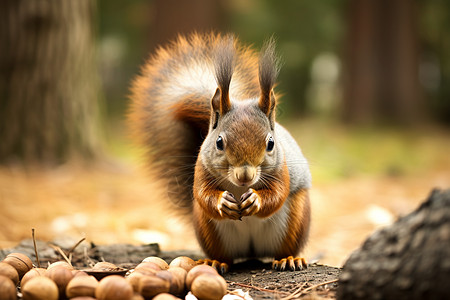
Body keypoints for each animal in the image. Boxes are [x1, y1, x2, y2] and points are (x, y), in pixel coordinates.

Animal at [128, 32, 312, 272]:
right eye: (219, 142)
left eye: (271, 143)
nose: (245, 176)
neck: (239, 187)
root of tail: (251, 252)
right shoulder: (201, 169)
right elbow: (202, 194)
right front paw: (221, 202)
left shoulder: (282, 171)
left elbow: (278, 194)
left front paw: (256, 200)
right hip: (208, 228)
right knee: (225, 255)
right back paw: (215, 261)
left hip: (295, 219)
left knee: (284, 247)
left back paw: (288, 259)